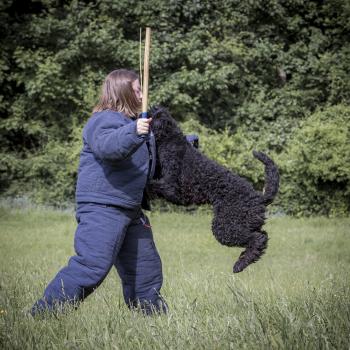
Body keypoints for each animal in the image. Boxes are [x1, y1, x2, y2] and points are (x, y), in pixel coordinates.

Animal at [148, 106, 278, 274]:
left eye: (150, 114)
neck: (171, 138)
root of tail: (259, 198)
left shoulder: (171, 188)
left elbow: (152, 184)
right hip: (247, 224)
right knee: (263, 237)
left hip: (225, 227)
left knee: (257, 239)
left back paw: (239, 265)